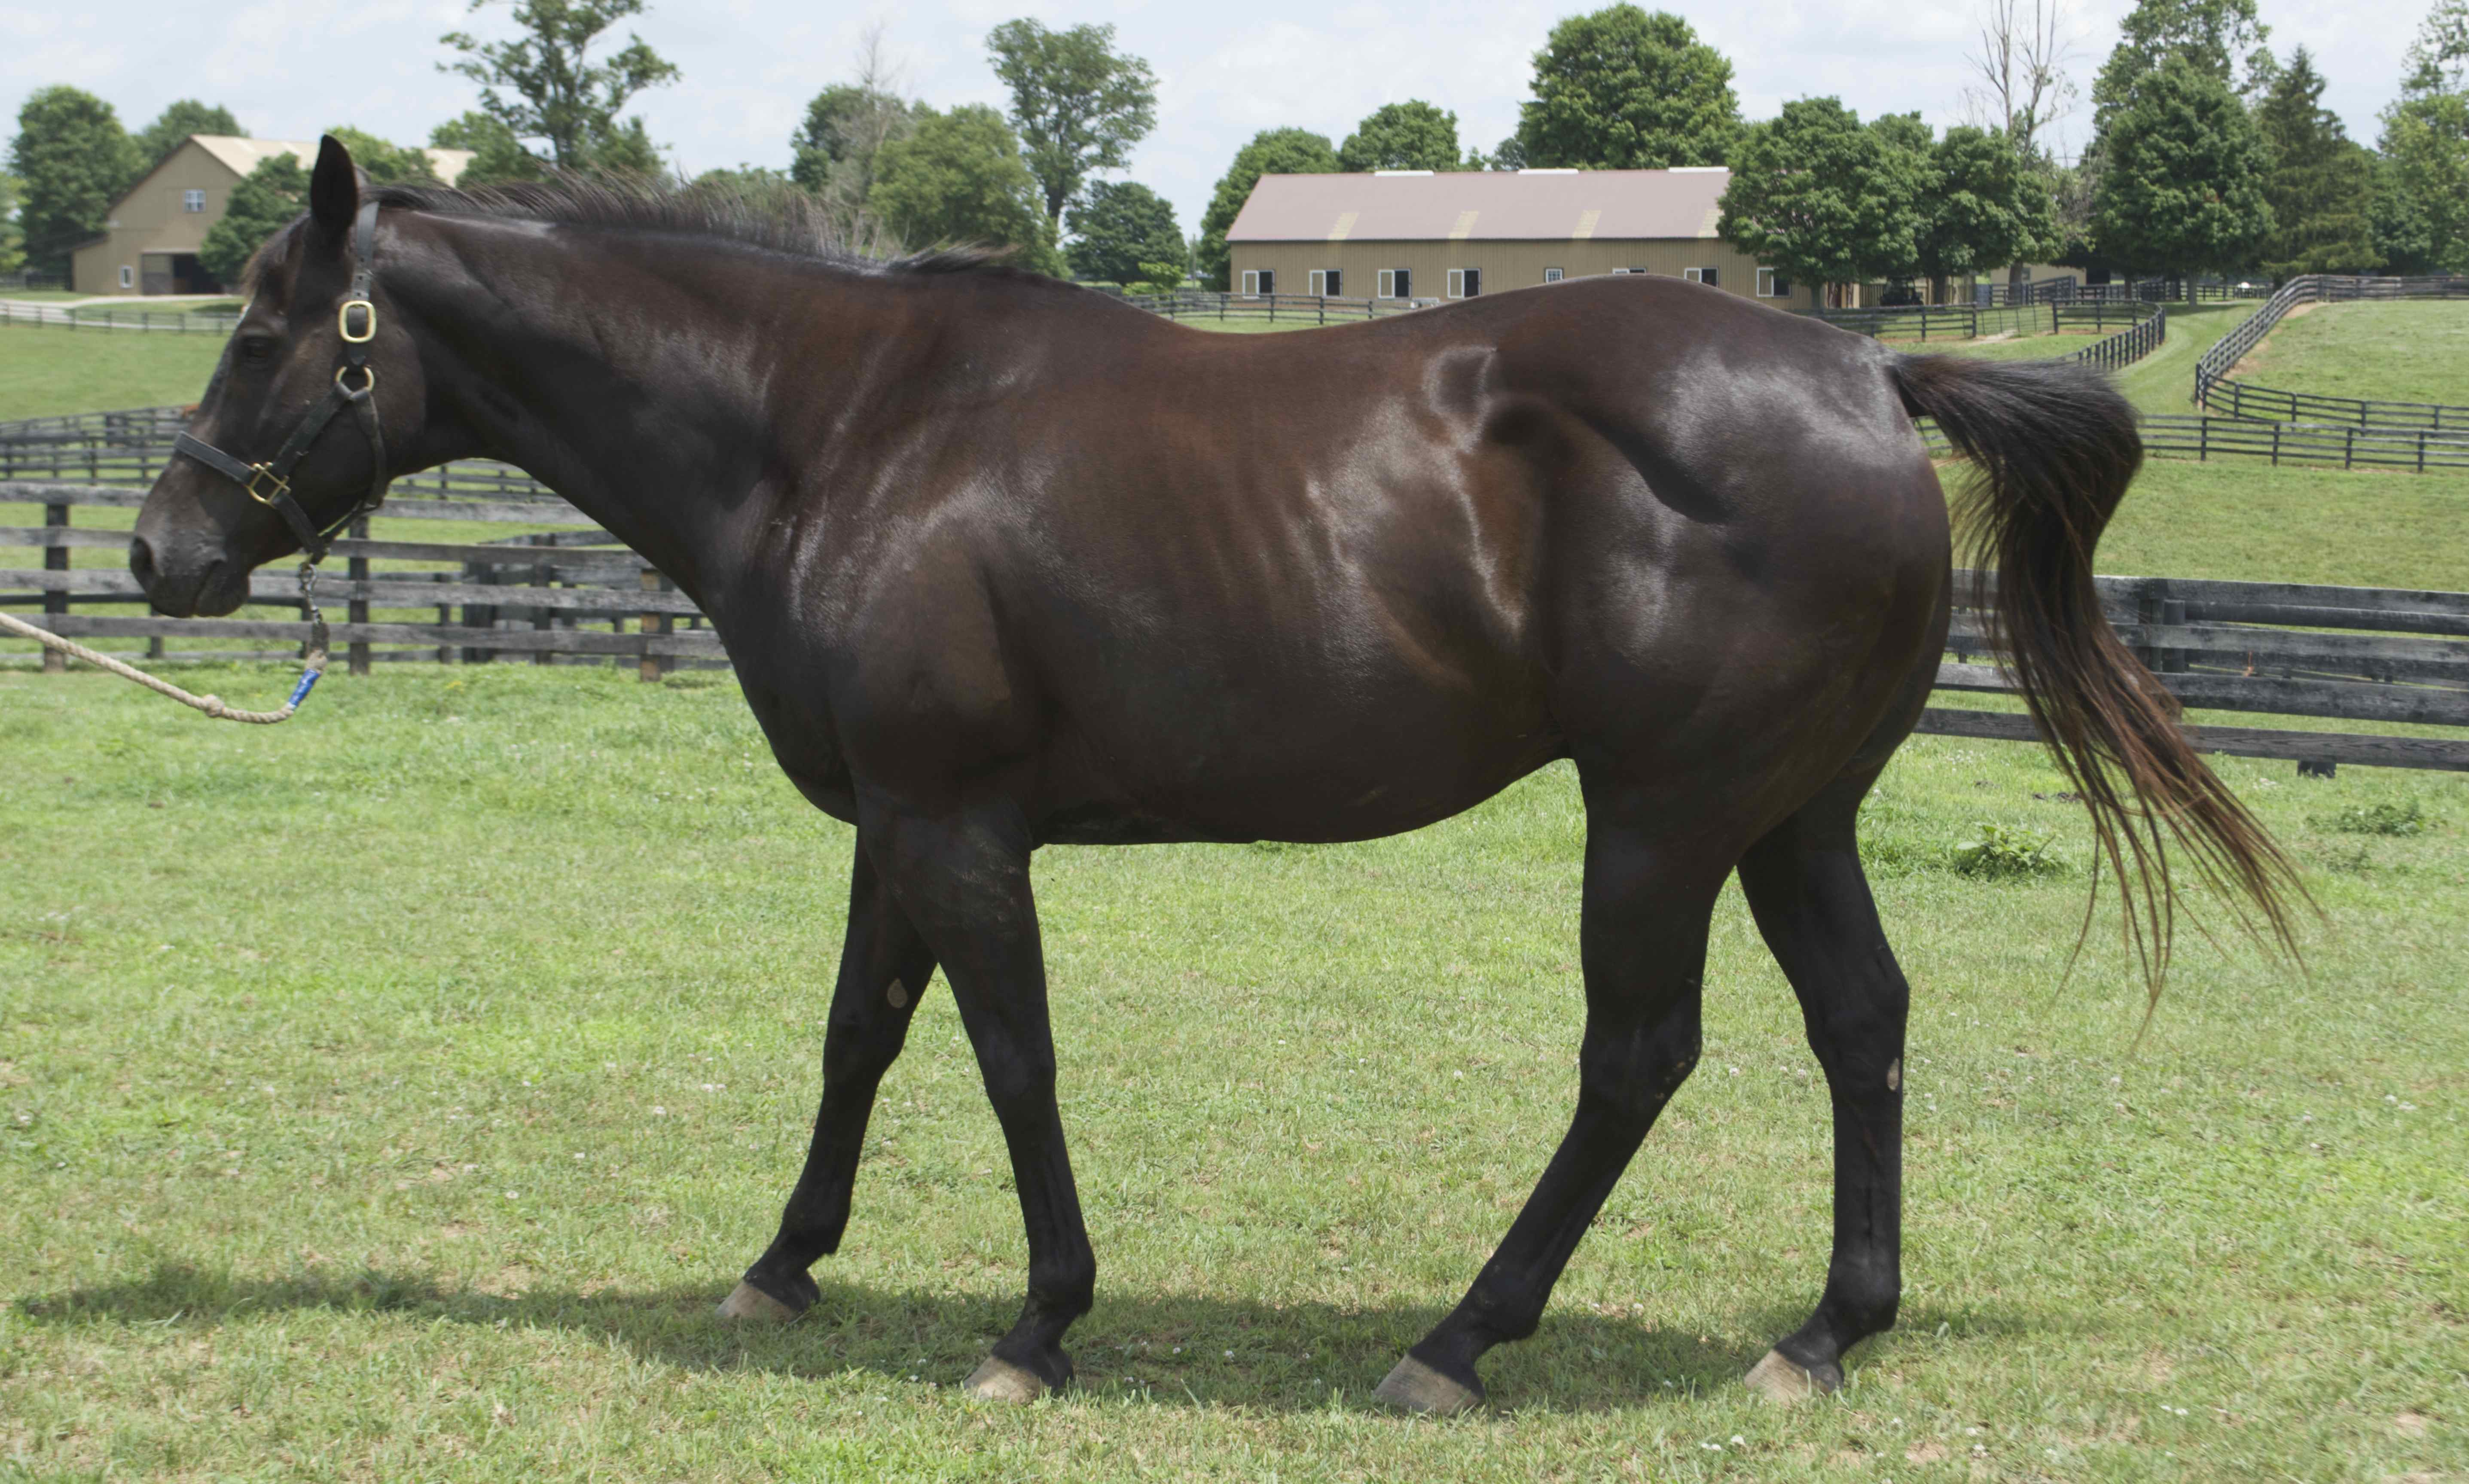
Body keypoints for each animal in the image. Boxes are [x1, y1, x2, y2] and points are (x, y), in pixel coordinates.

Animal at [131, 138, 2295, 1413]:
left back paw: (1457, 1340)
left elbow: (1007, 1055)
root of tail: (1861, 371)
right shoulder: (897, 821)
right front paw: (780, 1263)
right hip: (1789, 816)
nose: (162, 551)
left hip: (1662, 820)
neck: (840, 425)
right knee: (1862, 1020)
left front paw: (1036, 1321)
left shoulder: (959, 824)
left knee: (1636, 1055)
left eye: (261, 332)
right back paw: (1825, 1332)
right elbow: (859, 1032)